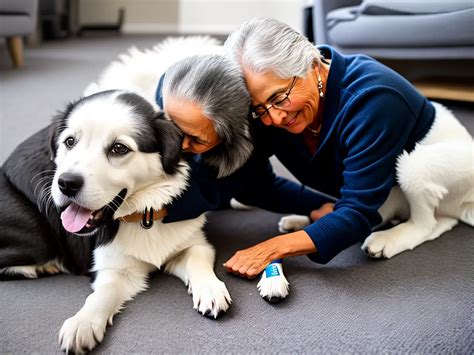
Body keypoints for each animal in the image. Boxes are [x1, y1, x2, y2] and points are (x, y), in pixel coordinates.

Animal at [0, 89, 230, 354]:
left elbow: (196, 258)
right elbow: (103, 293)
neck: (144, 216)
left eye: (119, 148)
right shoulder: (114, 269)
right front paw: (83, 323)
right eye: (70, 142)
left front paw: (210, 288)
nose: (66, 183)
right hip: (39, 239)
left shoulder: (193, 243)